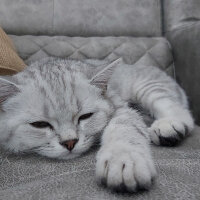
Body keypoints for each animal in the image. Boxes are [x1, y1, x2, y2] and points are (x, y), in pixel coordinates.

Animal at [0, 57, 194, 193]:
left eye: (85, 116)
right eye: (40, 124)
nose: (70, 142)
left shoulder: (120, 108)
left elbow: (124, 129)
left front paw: (123, 161)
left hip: (148, 87)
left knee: (182, 113)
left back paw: (168, 127)